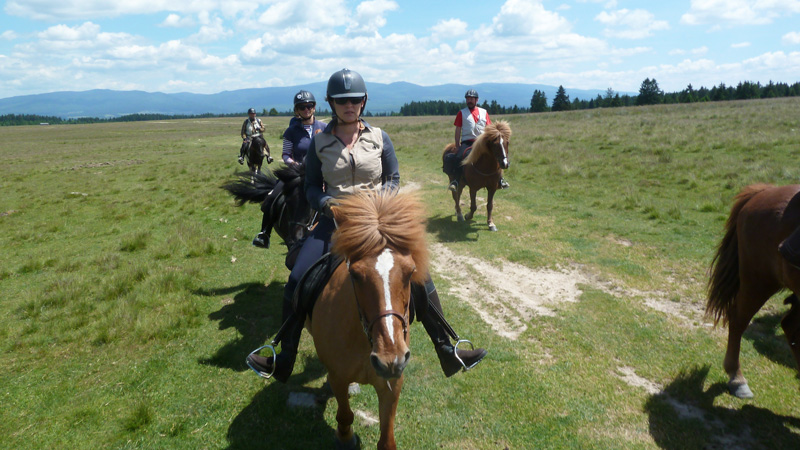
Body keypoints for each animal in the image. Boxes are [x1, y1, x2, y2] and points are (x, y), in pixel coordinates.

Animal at [311, 191, 429, 450]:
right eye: (355, 274)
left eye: (411, 272)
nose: (389, 359)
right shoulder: (338, 377)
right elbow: (345, 414)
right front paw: (345, 437)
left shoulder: (392, 383)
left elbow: (387, 440)